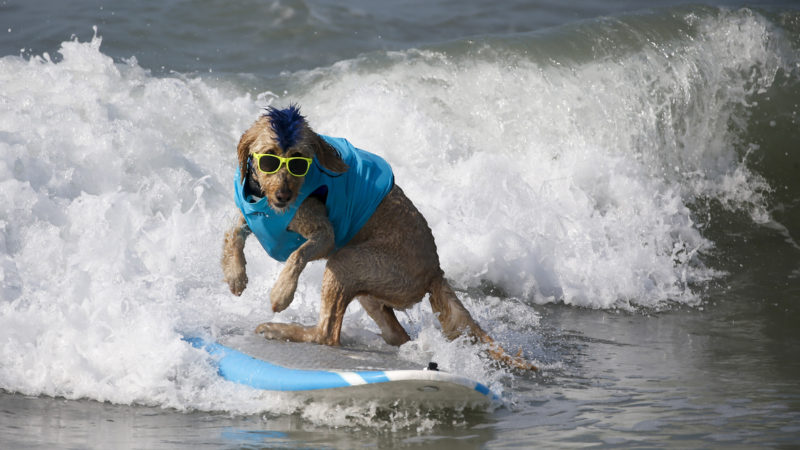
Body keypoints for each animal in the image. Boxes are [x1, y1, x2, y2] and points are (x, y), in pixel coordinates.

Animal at [219, 104, 536, 370]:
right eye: (269, 158)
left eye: (299, 161)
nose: (284, 196)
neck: (266, 202)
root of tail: (436, 271)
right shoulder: (248, 216)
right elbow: (231, 232)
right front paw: (235, 275)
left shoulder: (325, 235)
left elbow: (298, 254)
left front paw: (282, 292)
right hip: (369, 287)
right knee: (396, 335)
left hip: (346, 261)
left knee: (326, 333)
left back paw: (281, 329)